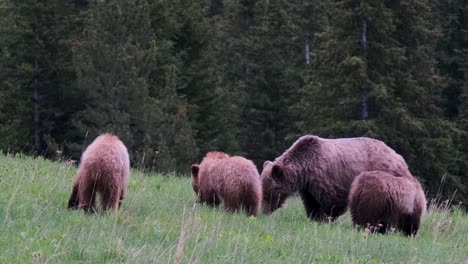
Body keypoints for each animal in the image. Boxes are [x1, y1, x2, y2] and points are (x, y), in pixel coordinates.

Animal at [262, 135, 412, 220]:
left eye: (270, 191)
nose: (264, 211)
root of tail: (398, 156)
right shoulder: (308, 186)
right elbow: (311, 202)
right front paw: (313, 217)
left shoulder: (326, 176)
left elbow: (333, 200)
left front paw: (325, 218)